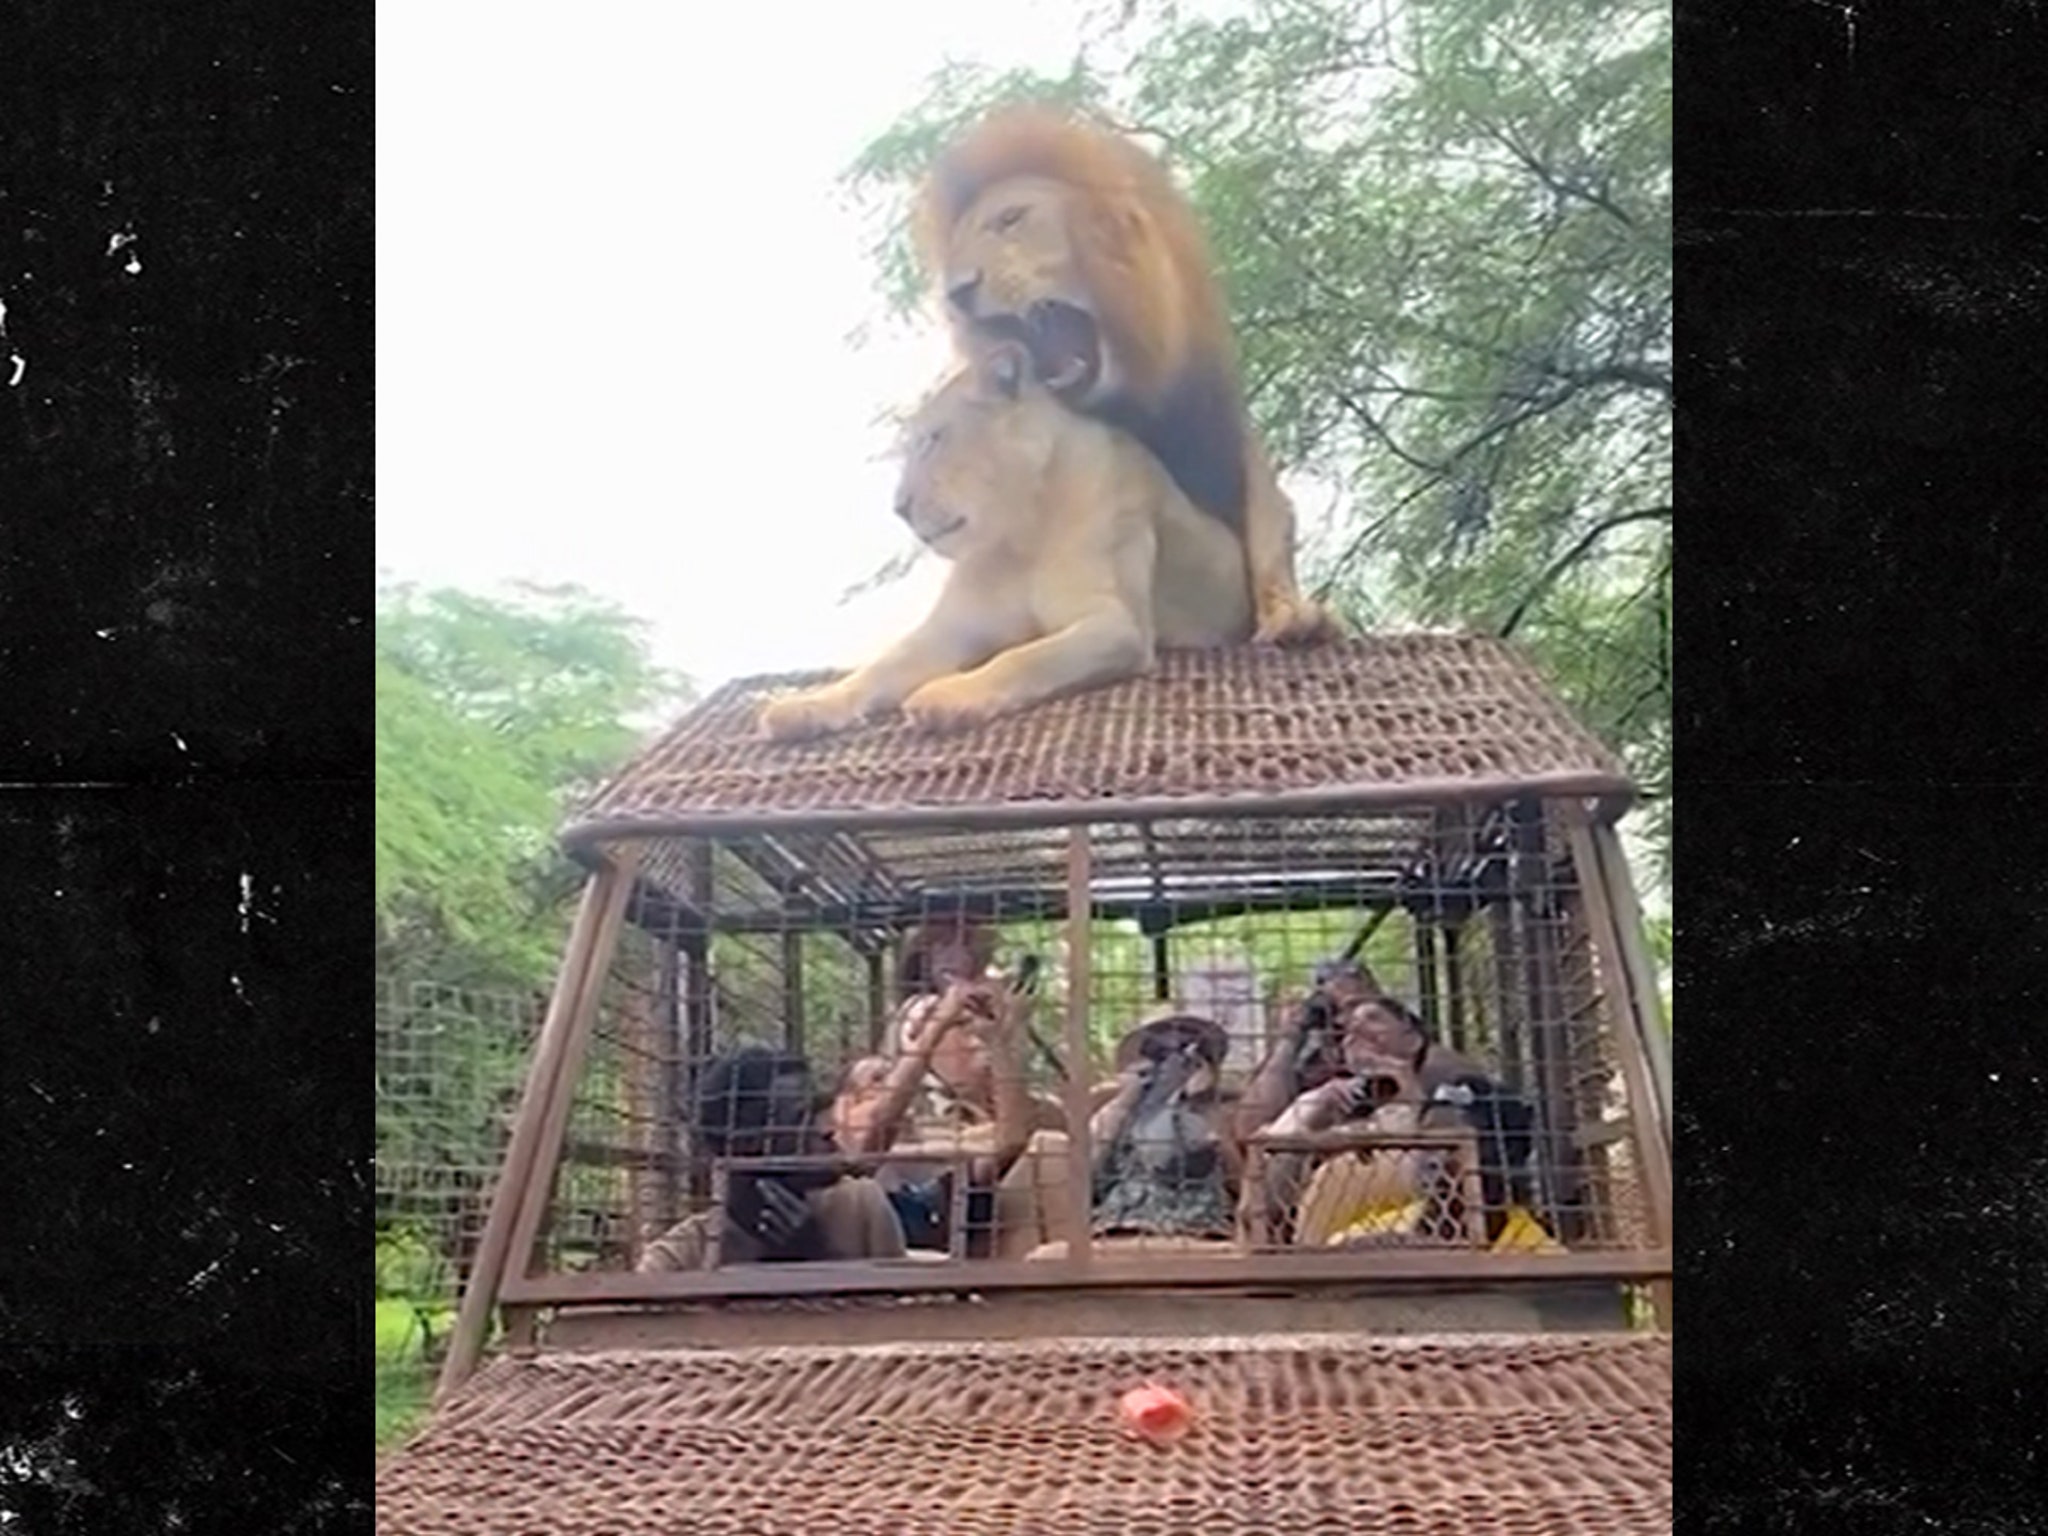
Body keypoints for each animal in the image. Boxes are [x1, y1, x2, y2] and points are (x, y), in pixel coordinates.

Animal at [765, 342, 1253, 741]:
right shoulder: (951, 629)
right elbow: (878, 668)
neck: (1020, 535)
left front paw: (948, 696)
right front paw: (805, 706)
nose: (899, 507)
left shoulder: (1115, 623)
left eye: (933, 440)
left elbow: (1024, 658)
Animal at [913, 105, 1343, 651]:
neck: (1132, 403)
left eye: (1010, 219)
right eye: (954, 252)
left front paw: (1295, 616)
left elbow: (1269, 520)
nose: (957, 291)